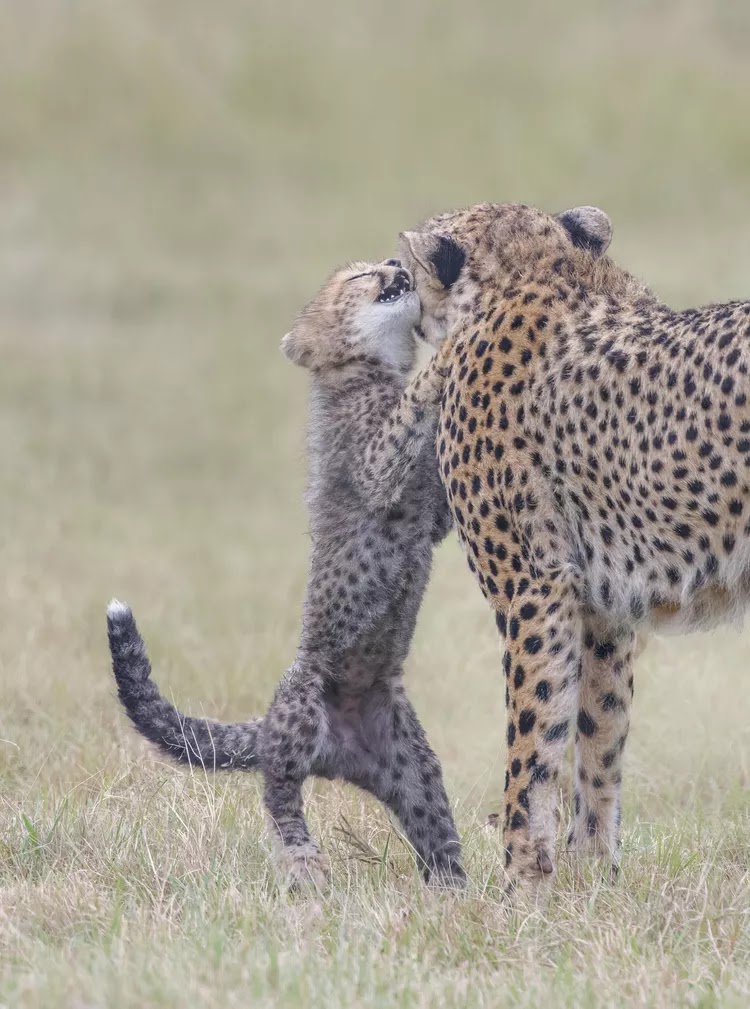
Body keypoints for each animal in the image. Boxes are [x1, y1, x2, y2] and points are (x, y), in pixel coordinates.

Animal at [107, 258, 466, 890]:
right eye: (361, 276)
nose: (396, 264)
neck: (366, 373)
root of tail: (344, 749)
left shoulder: (433, 518)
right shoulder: (376, 464)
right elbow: (409, 414)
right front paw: (446, 355)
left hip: (412, 766)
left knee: (433, 824)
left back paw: (457, 889)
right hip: (300, 711)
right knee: (278, 795)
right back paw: (302, 860)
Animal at [398, 200, 750, 887]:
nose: (402, 294)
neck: (537, 266)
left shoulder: (533, 587)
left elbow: (532, 741)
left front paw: (517, 883)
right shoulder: (603, 605)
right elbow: (599, 733)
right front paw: (592, 876)